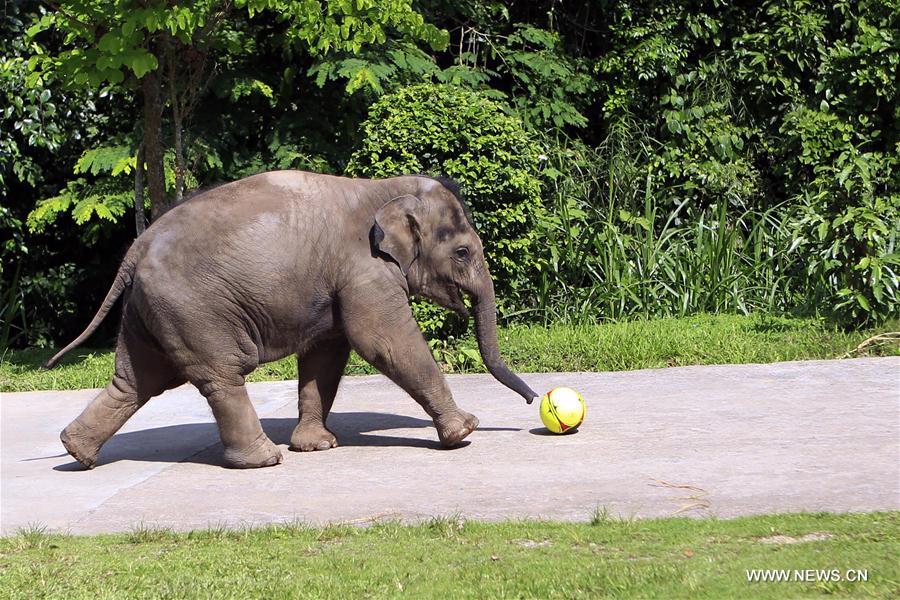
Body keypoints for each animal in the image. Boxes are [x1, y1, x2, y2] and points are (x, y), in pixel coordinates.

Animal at [46, 170, 539, 469]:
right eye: (463, 252)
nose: (534, 401)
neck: (384, 188)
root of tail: (135, 250)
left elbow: (327, 353)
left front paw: (318, 446)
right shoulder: (364, 270)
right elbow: (382, 341)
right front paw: (464, 432)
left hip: (148, 310)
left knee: (135, 381)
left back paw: (76, 453)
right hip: (191, 308)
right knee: (220, 375)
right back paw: (264, 460)